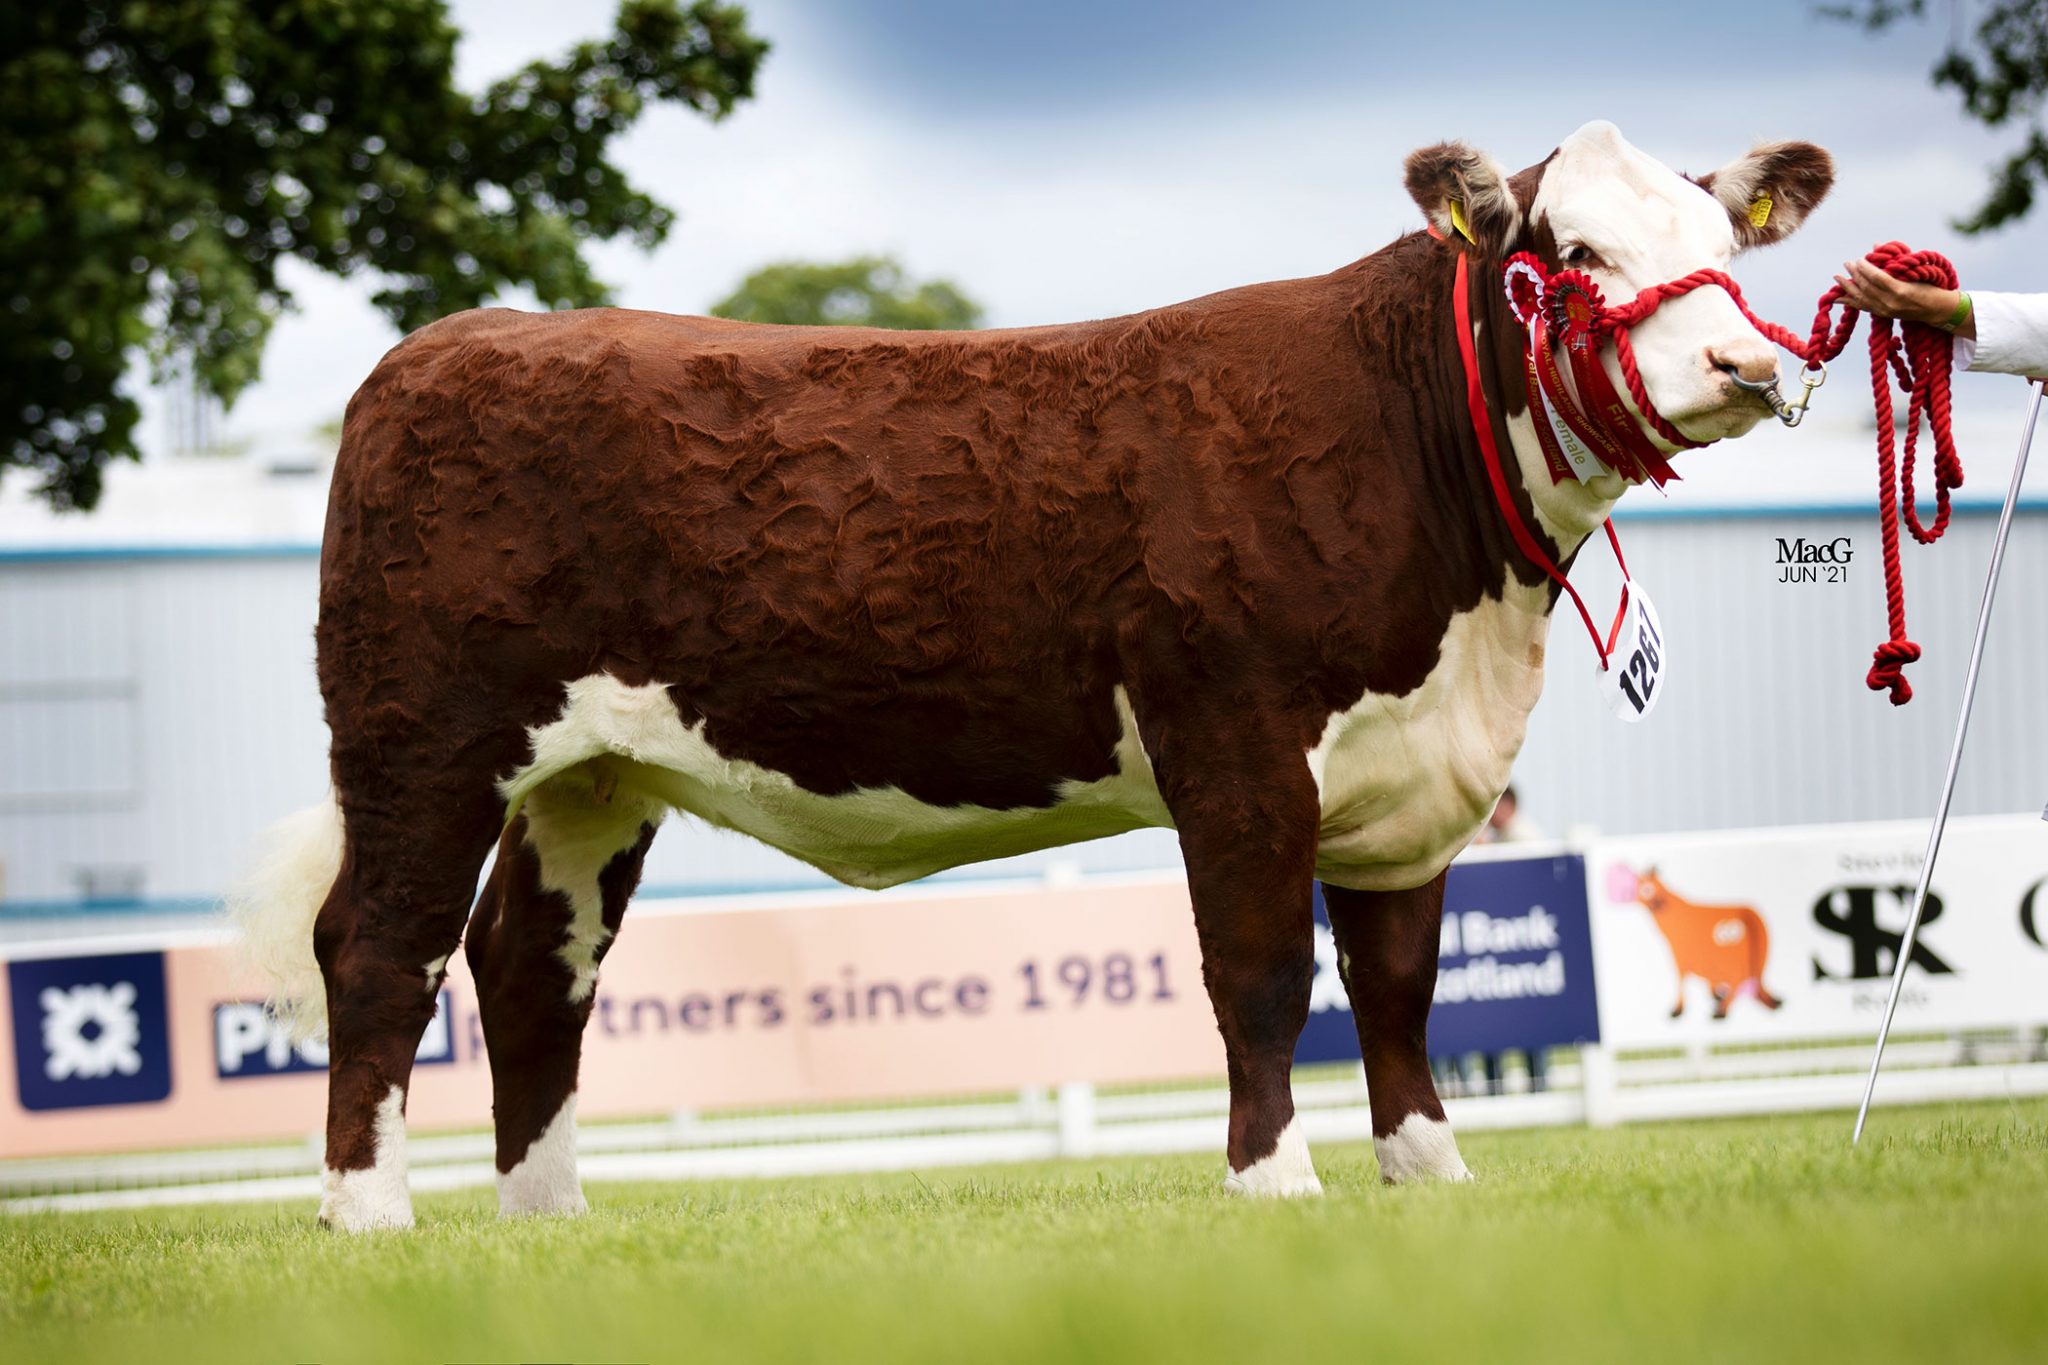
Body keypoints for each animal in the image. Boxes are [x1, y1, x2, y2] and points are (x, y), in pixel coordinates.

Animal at [1610, 865, 1784, 1019]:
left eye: (1647, 889)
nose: (1658, 904)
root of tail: (1751, 914)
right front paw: (1715, 994)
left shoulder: (1681, 956)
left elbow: (1681, 981)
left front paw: (1678, 1009)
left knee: (1738, 977)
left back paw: (1721, 1011)